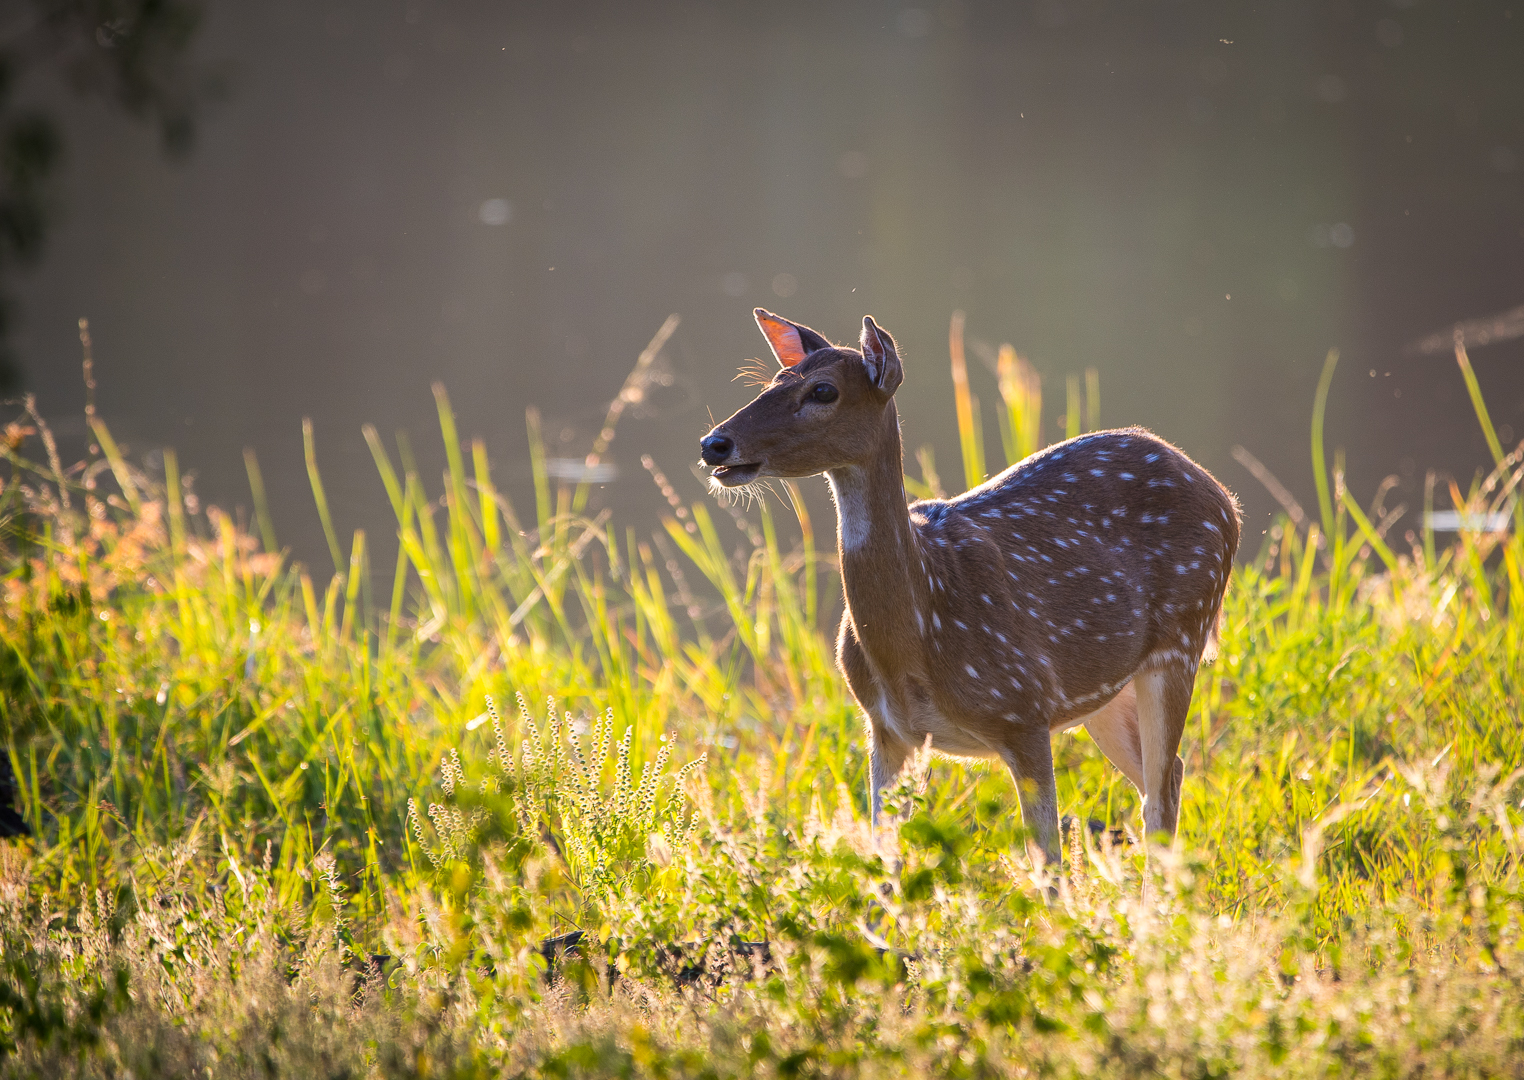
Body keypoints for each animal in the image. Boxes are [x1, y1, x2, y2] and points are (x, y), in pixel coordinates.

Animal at [700, 309, 1240, 870]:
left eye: (823, 390)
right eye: (774, 380)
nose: (714, 443)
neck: (920, 632)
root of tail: (1226, 500)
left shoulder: (1024, 709)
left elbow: (1049, 864)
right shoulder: (887, 730)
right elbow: (884, 862)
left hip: (1182, 641)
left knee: (1161, 795)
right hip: (1107, 689)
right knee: (1166, 778)